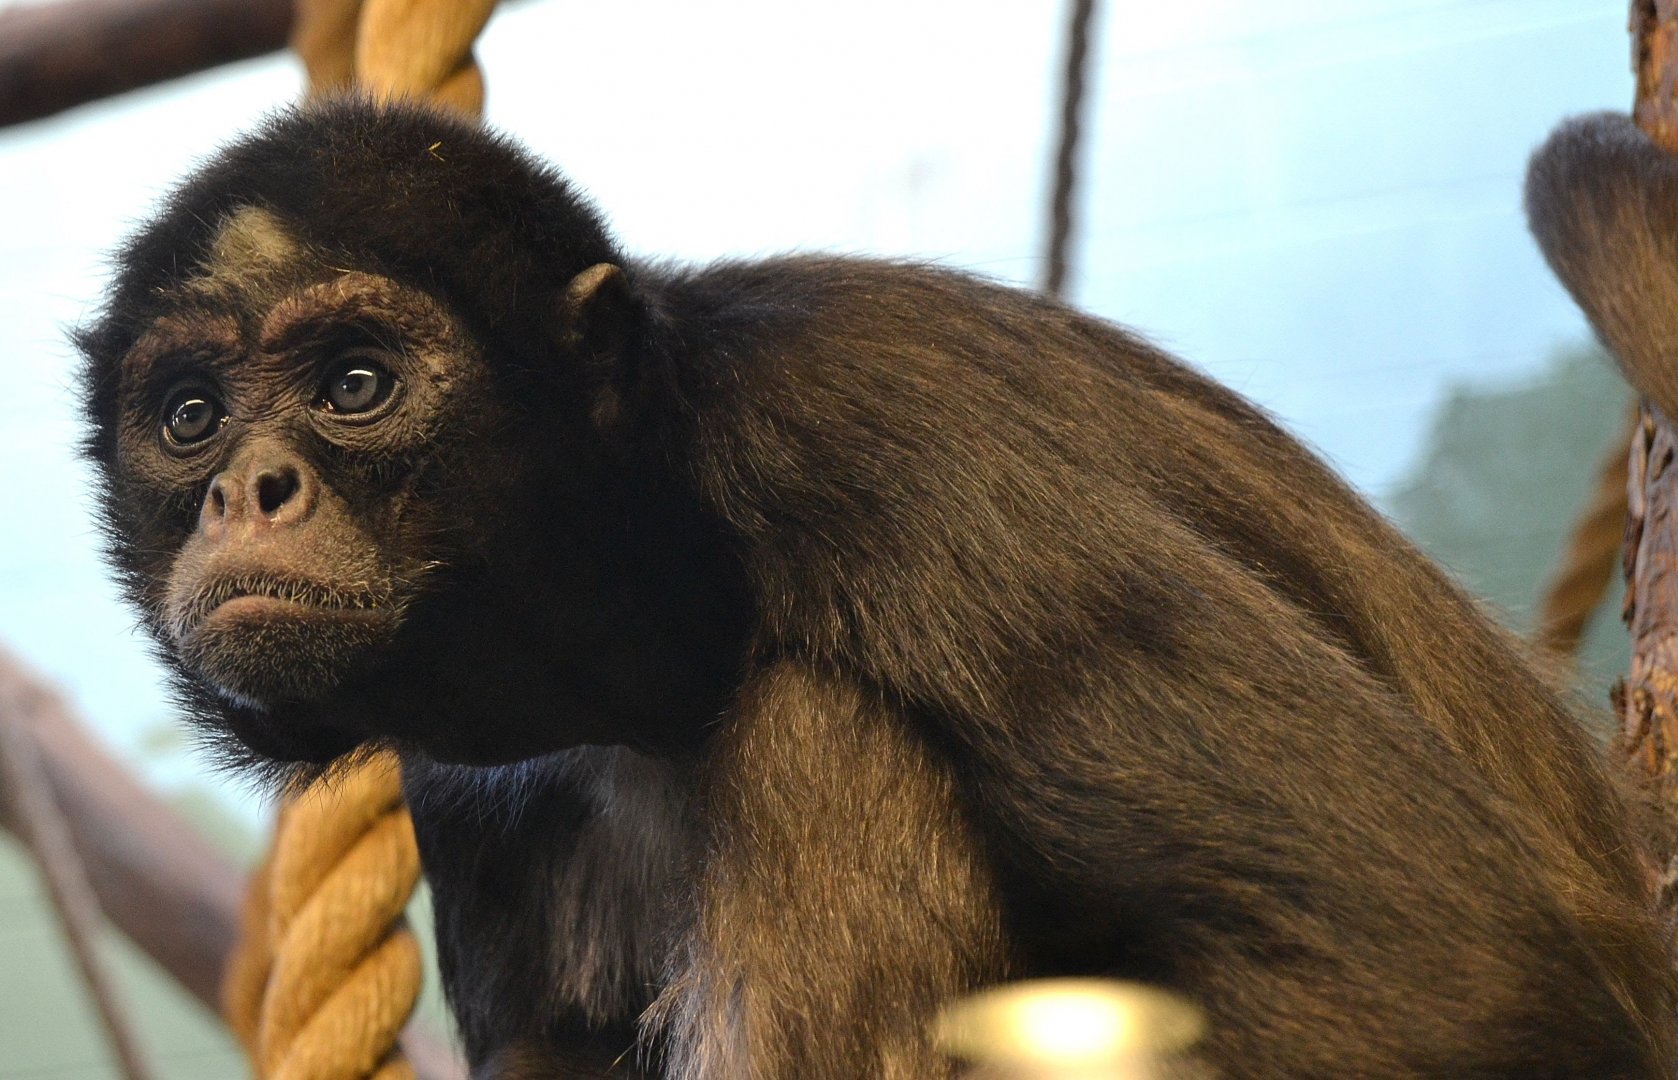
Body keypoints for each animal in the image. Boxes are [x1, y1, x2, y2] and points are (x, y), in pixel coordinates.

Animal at [75, 97, 1676, 1079]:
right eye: (191, 418)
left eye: (355, 386)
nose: (250, 489)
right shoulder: (464, 776)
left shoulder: (874, 441)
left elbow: (1455, 977)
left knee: (812, 727)